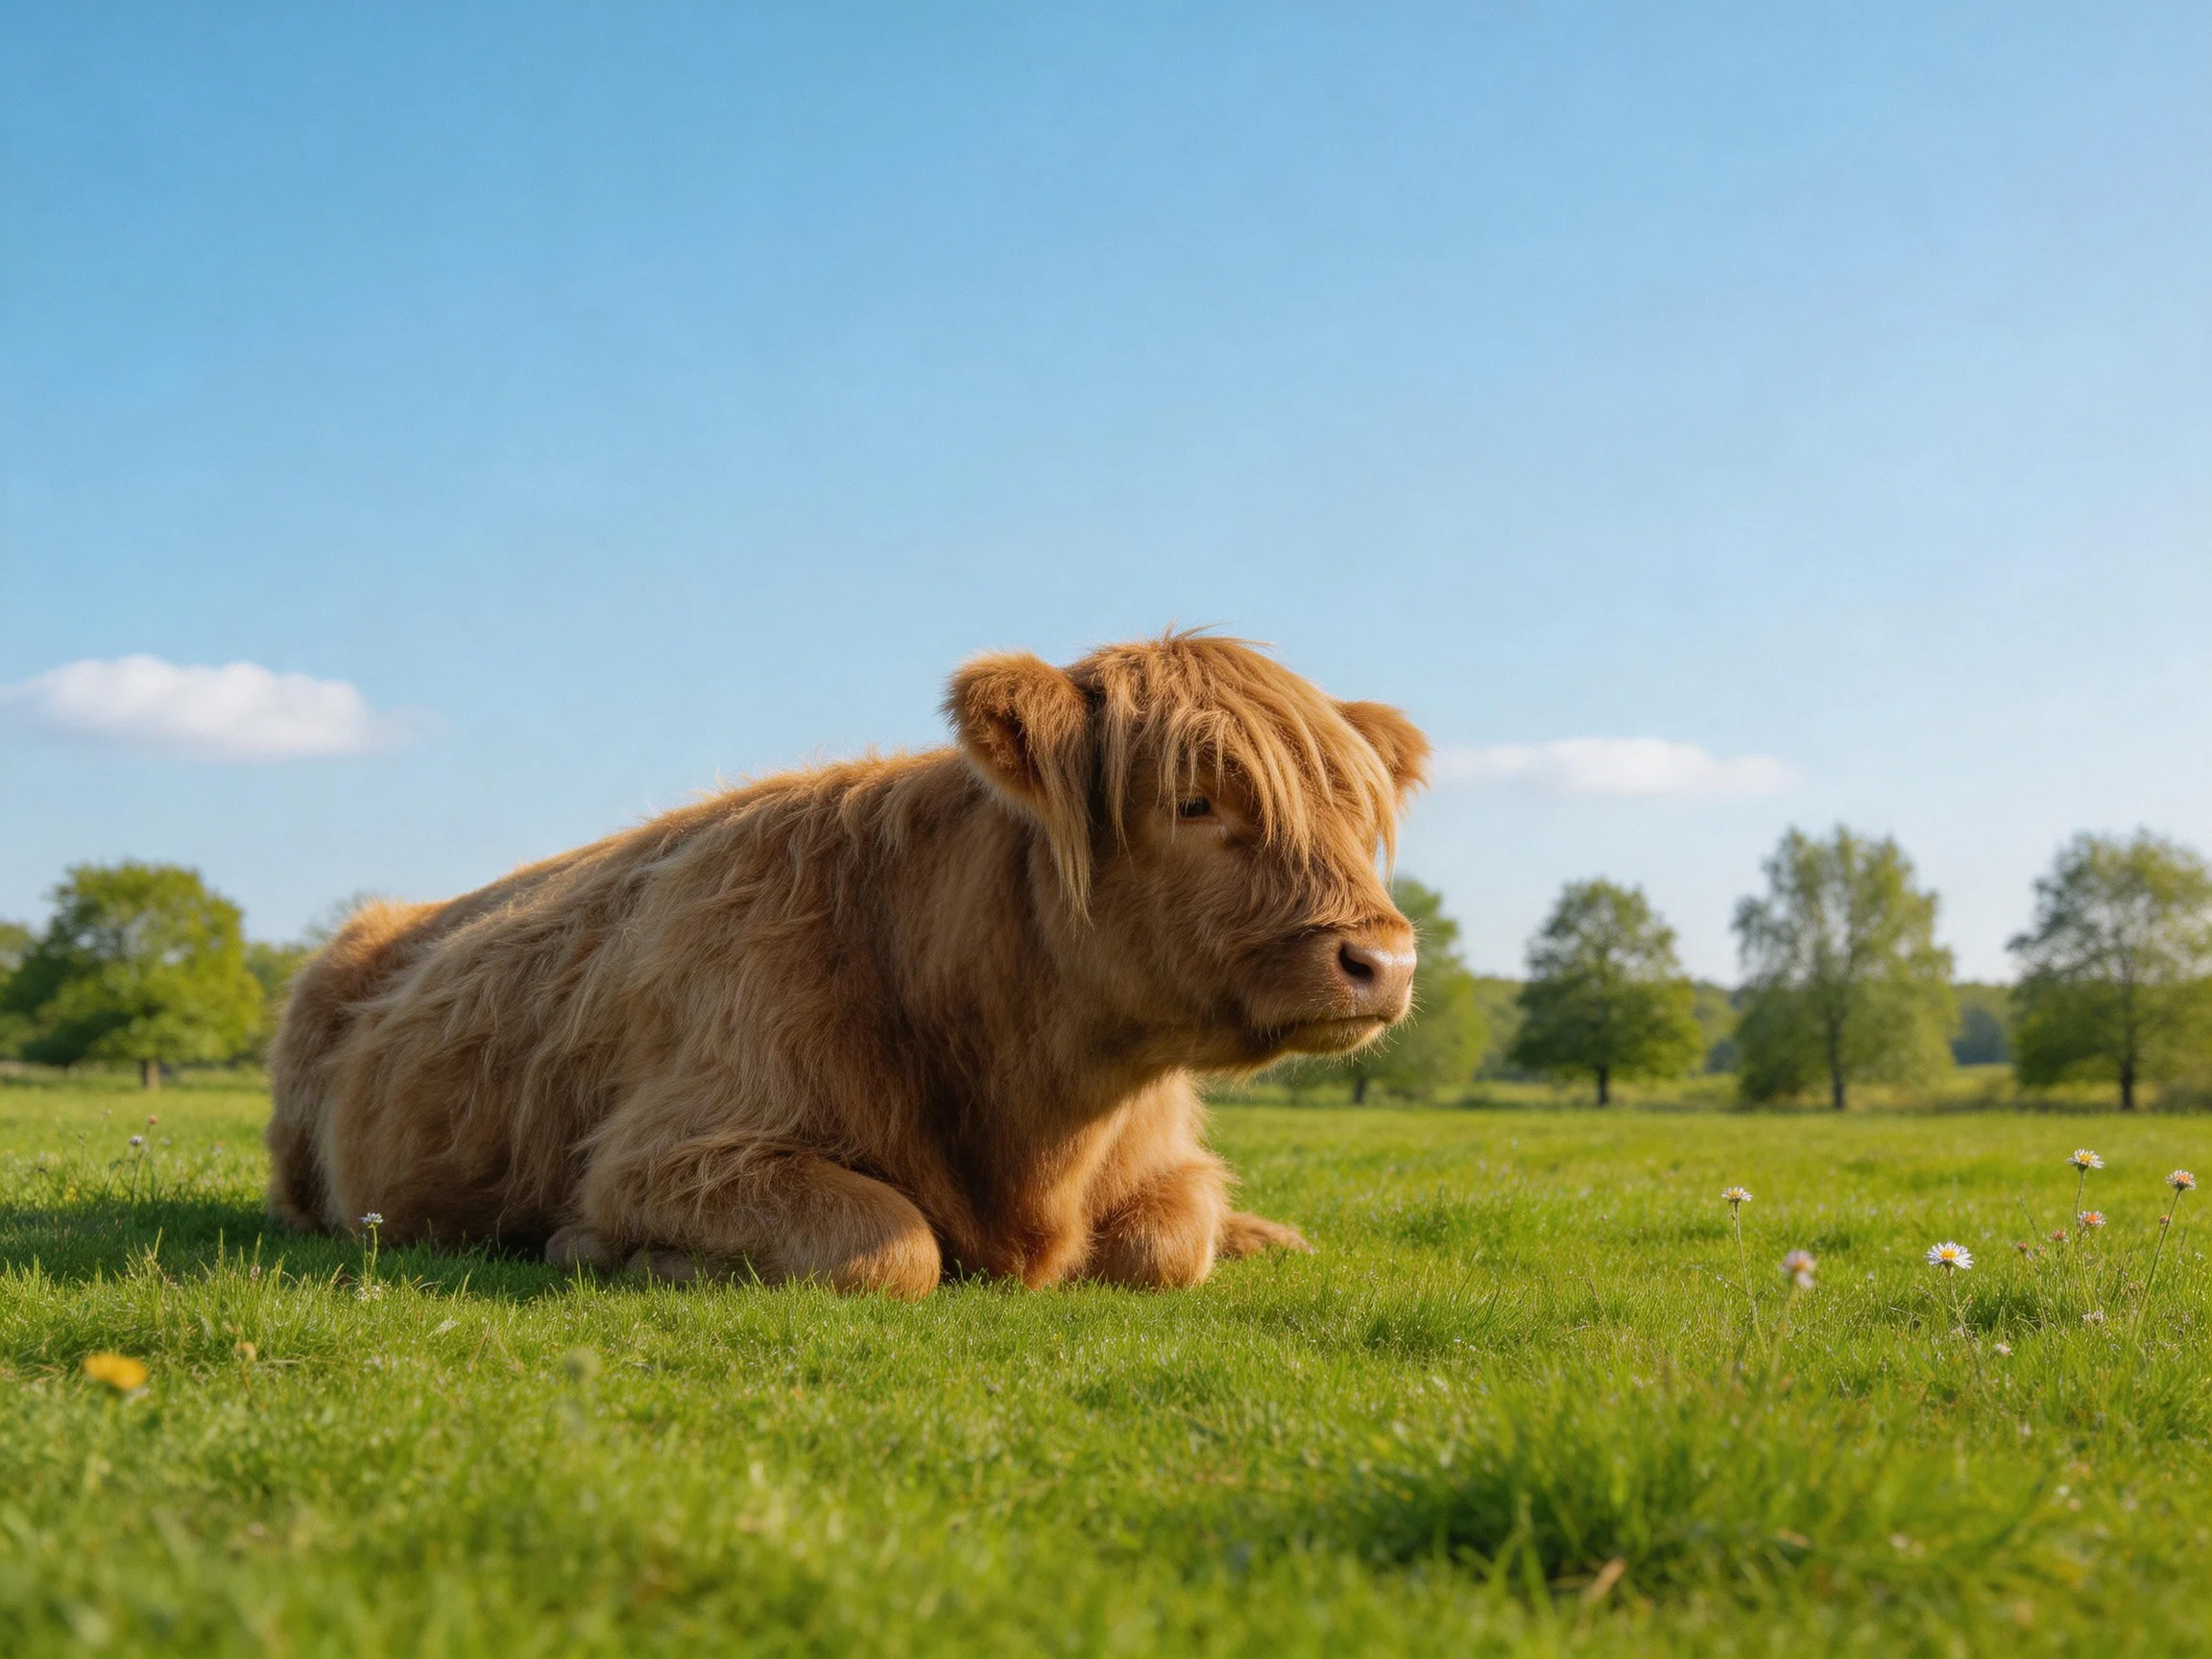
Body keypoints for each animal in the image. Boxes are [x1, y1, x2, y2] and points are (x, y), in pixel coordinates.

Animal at [266, 633, 1427, 1296]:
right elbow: (890, 1244)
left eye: (1354, 812)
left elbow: (1165, 1246)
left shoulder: (1161, 1152)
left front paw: (1242, 1233)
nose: (1383, 959)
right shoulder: (665, 1151)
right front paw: (591, 1250)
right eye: (1193, 802)